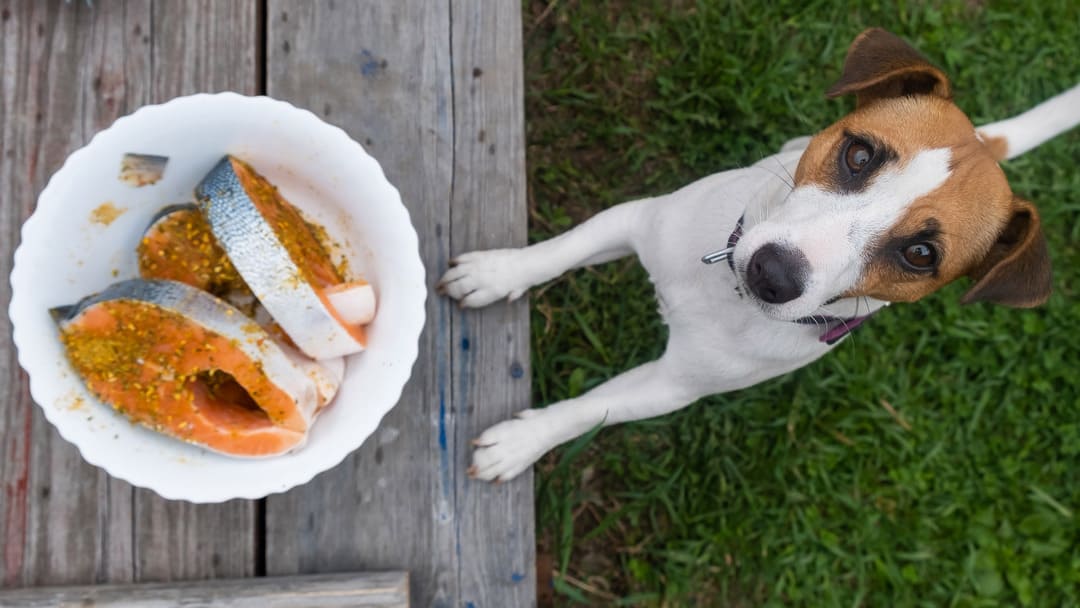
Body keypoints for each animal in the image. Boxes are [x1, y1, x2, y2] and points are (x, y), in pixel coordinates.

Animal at [434, 28, 1075, 483]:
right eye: (859, 155)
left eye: (920, 254)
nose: (772, 274)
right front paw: (495, 272)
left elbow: (589, 410)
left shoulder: (672, 386)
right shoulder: (637, 220)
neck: (724, 294)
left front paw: (519, 443)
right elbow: (558, 251)